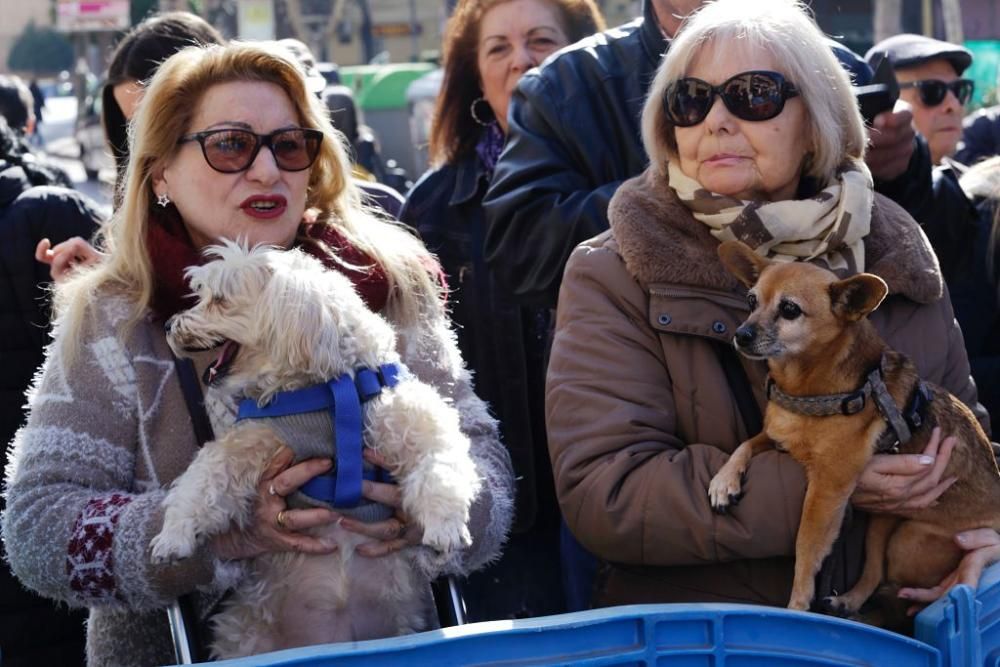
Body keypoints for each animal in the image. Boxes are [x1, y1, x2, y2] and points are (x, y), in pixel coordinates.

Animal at [148, 240, 480, 656]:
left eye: (220, 300)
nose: (168, 325)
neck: (328, 389)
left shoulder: (413, 422)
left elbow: (439, 468)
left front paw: (445, 527)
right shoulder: (250, 441)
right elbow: (203, 482)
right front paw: (173, 536)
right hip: (247, 637)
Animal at [712, 239, 1000, 616]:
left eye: (789, 309)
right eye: (750, 301)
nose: (741, 334)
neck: (807, 389)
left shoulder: (827, 489)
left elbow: (806, 547)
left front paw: (797, 608)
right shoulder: (775, 438)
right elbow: (744, 445)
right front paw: (723, 482)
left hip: (908, 538)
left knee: (896, 584)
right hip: (882, 523)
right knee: (874, 572)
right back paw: (848, 600)